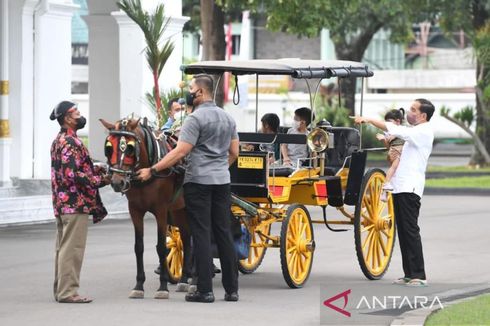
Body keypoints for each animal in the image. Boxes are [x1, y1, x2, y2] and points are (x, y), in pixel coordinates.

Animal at [99, 116, 191, 298]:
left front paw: (163, 287)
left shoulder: (161, 210)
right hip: (178, 210)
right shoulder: (135, 210)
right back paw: (184, 278)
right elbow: (138, 247)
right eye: (109, 147)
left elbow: (161, 247)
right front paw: (139, 285)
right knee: (185, 239)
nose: (117, 182)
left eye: (130, 148)